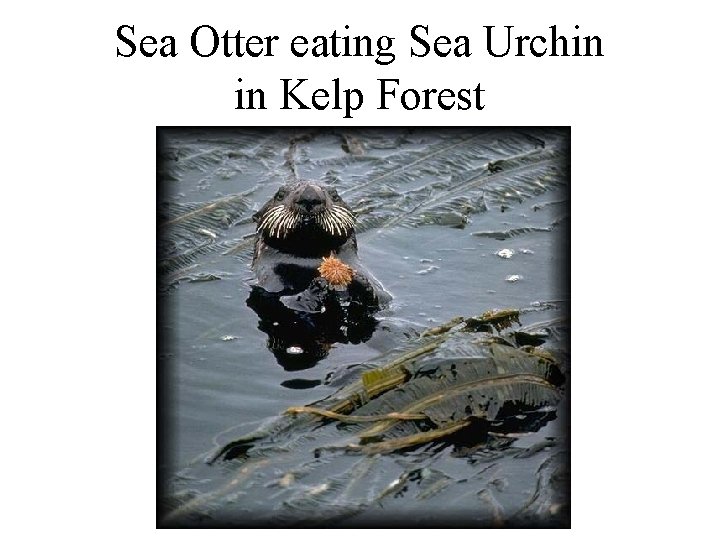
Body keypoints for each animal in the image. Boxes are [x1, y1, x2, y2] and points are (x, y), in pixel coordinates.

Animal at [251, 181, 390, 311]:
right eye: (280, 195)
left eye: (335, 195)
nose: (309, 195)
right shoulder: (270, 283)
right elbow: (289, 302)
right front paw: (318, 286)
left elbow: (382, 298)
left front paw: (359, 281)